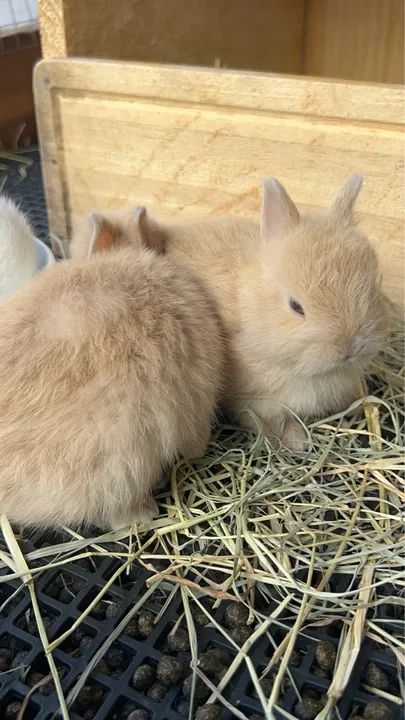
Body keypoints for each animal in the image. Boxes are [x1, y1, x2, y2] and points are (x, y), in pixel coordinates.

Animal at [71, 175, 389, 450]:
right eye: (296, 306)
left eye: (372, 283)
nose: (351, 346)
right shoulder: (254, 399)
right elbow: (270, 421)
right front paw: (297, 442)